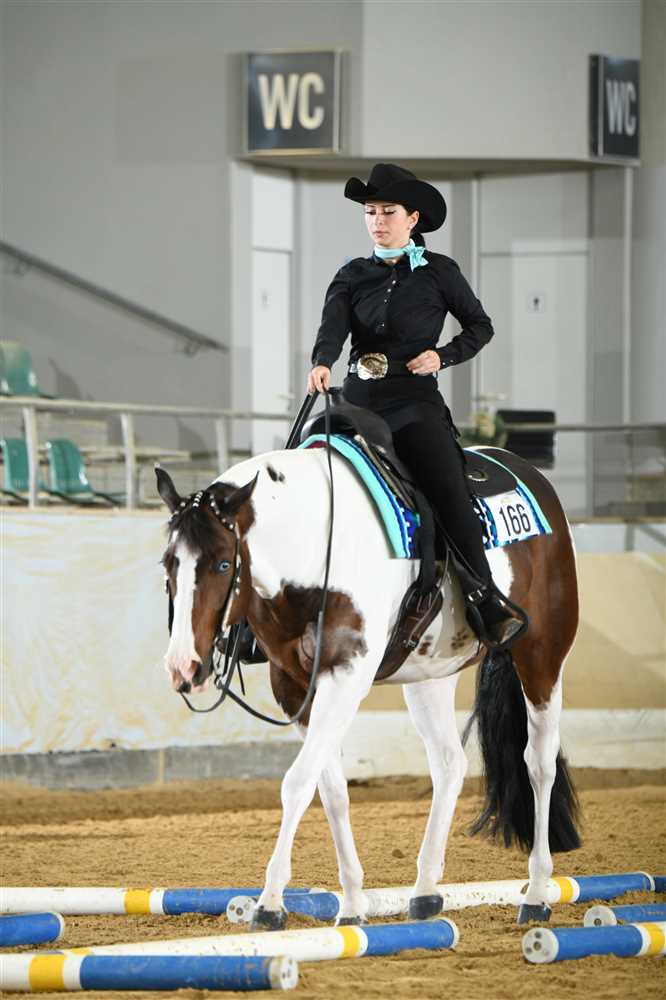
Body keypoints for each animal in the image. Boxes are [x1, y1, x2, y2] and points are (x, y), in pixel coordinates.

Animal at [156, 421, 580, 929]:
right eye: (168, 564)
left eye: (223, 563)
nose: (183, 666)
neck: (316, 546)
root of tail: (529, 473)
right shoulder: (293, 687)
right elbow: (330, 788)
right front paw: (354, 904)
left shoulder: (346, 677)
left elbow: (297, 783)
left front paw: (271, 903)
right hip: (430, 676)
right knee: (450, 764)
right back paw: (425, 891)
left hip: (543, 655)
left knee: (538, 762)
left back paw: (536, 892)